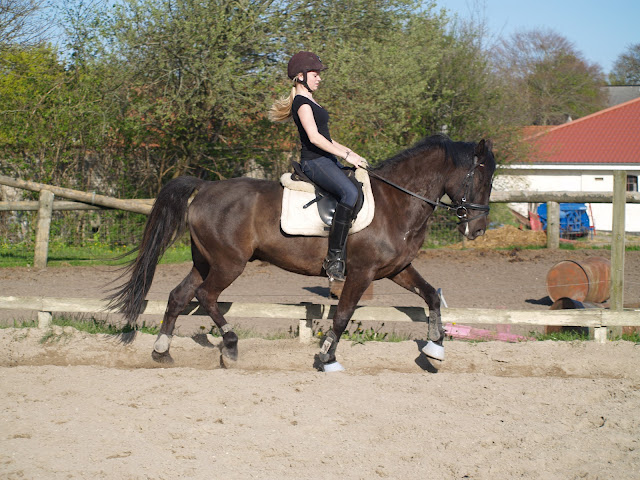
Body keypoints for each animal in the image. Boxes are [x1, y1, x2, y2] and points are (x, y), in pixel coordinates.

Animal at [108, 134, 496, 371]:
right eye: (481, 176)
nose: (477, 230)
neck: (396, 202)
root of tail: (204, 187)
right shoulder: (361, 273)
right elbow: (342, 316)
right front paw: (327, 357)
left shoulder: (398, 269)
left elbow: (431, 296)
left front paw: (435, 348)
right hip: (229, 263)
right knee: (205, 296)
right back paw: (230, 346)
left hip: (206, 261)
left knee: (178, 296)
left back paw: (162, 352)